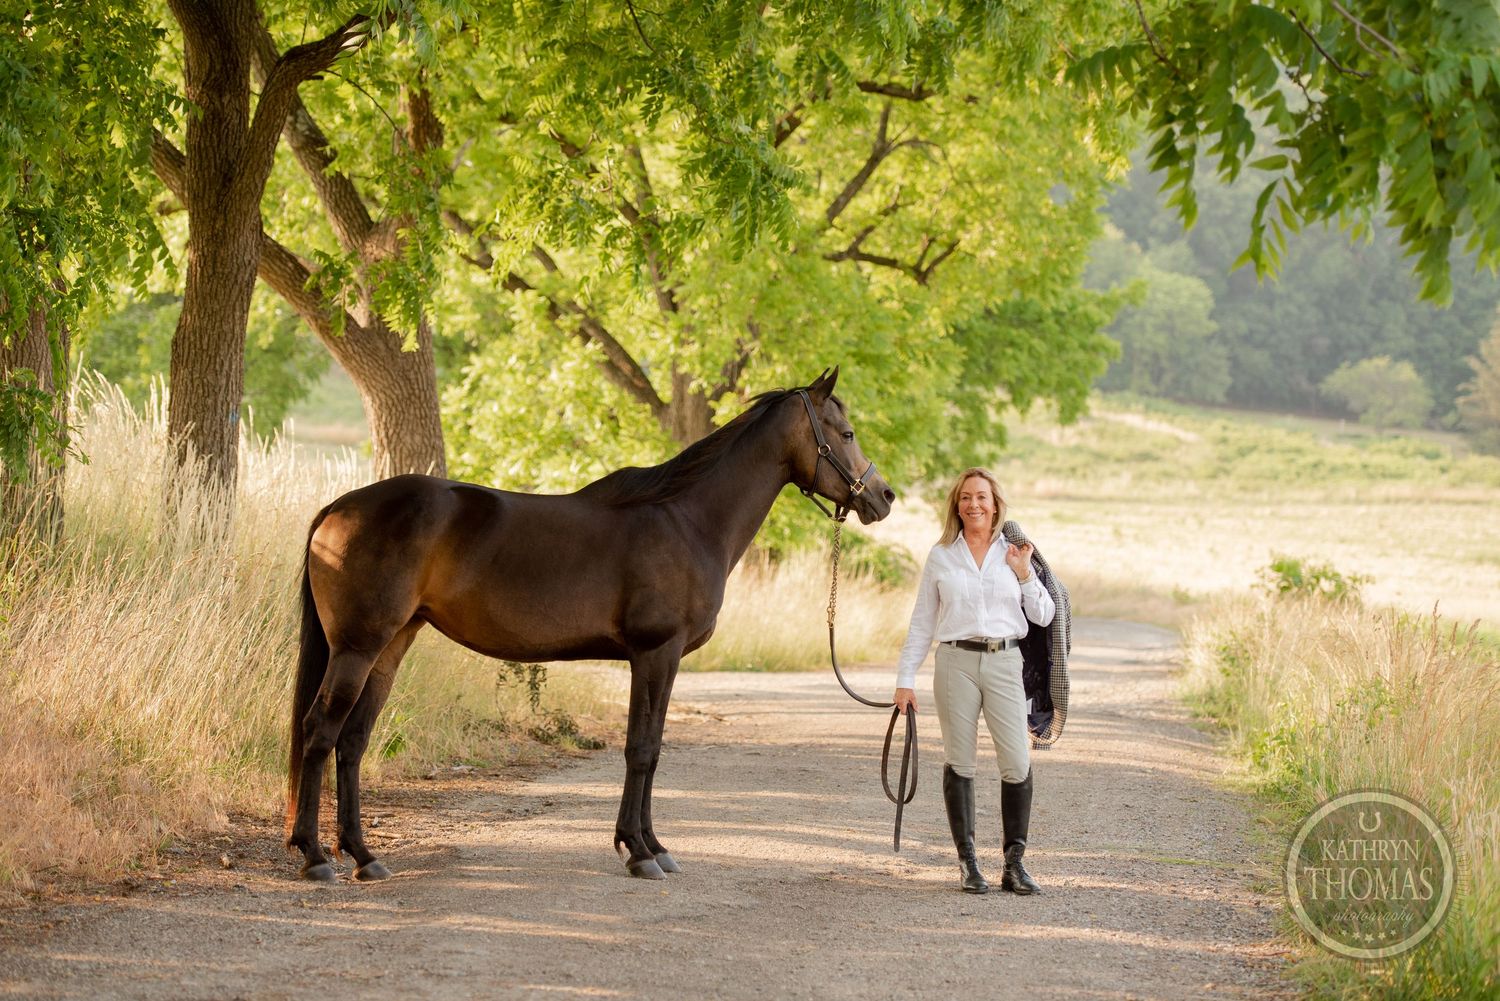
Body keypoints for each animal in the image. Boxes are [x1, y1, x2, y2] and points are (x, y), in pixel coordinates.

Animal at [287, 368, 895, 882]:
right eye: (845, 432)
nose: (883, 497)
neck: (687, 521)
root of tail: (338, 507)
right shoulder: (655, 653)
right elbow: (641, 749)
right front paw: (640, 853)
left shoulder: (662, 661)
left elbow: (652, 747)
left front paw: (654, 847)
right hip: (357, 649)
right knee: (320, 731)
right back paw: (316, 857)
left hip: (391, 647)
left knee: (353, 741)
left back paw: (364, 856)